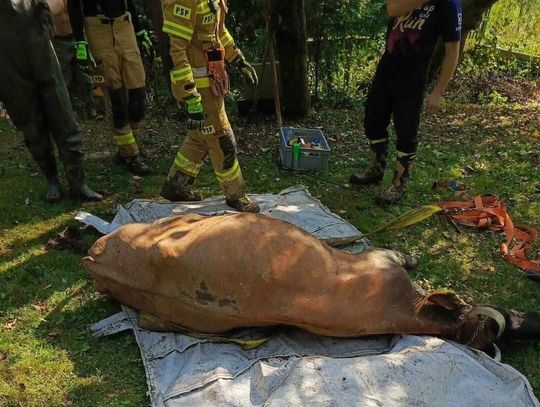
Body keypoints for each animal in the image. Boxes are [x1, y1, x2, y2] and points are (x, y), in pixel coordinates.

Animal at [81, 214, 540, 354]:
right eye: (495, 324)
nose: (531, 319)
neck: (405, 311)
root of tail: (96, 258)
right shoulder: (383, 260)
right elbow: (398, 252)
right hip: (173, 221)